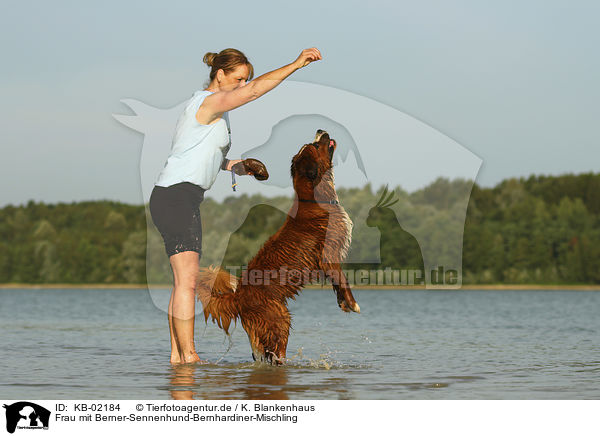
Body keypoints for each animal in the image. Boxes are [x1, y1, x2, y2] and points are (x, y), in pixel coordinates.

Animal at [197, 129, 358, 364]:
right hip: (280, 317)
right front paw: (352, 304)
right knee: (277, 352)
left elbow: (337, 284)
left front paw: (343, 304)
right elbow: (343, 280)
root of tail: (238, 296)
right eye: (315, 145)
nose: (321, 131)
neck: (313, 199)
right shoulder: (329, 255)